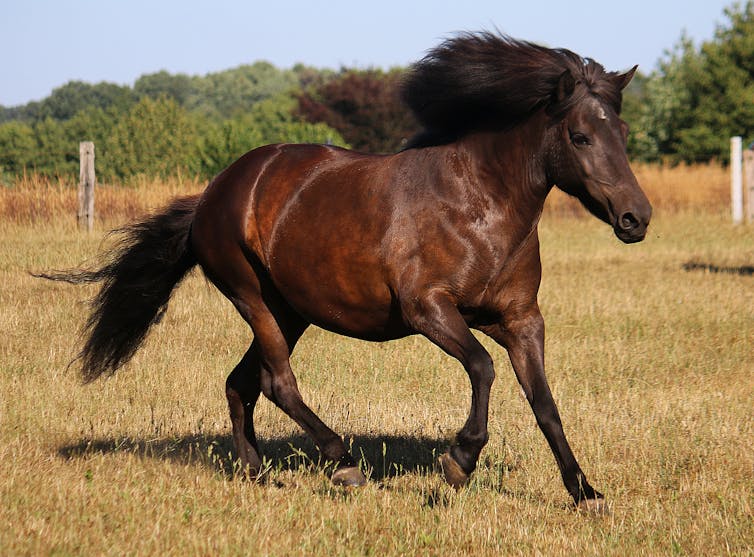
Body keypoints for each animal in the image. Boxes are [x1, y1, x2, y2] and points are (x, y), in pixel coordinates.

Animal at [44, 32, 648, 512]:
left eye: (621, 131)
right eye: (579, 136)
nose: (636, 218)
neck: (479, 205)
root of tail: (214, 193)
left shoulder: (522, 320)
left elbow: (545, 404)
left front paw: (585, 493)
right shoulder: (429, 309)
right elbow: (482, 367)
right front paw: (459, 460)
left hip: (289, 311)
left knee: (241, 382)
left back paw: (254, 472)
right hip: (253, 298)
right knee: (277, 382)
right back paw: (343, 463)